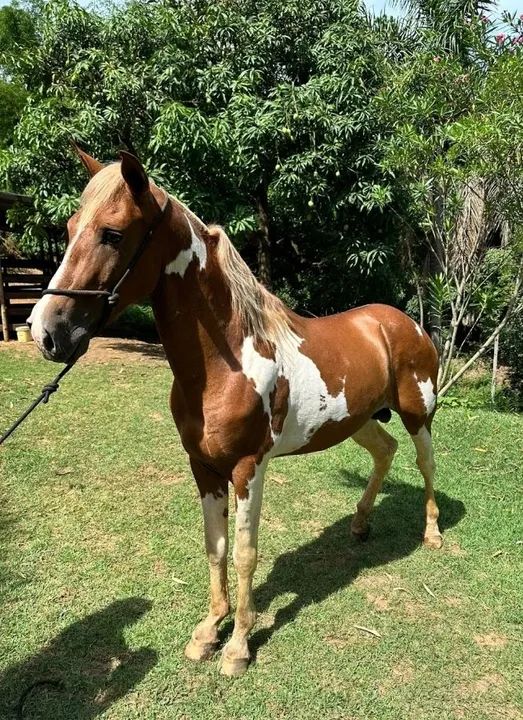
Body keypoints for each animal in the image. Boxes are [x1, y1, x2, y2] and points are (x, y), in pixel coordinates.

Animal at [28, 148, 442, 677]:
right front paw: (208, 631)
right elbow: (215, 545)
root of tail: (405, 322)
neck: (227, 362)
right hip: (358, 420)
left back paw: (432, 534)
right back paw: (360, 524)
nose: (45, 331)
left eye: (112, 233)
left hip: (417, 414)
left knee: (425, 464)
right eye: (69, 227)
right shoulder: (203, 467)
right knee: (385, 451)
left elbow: (245, 553)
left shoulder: (248, 468)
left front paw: (239, 645)